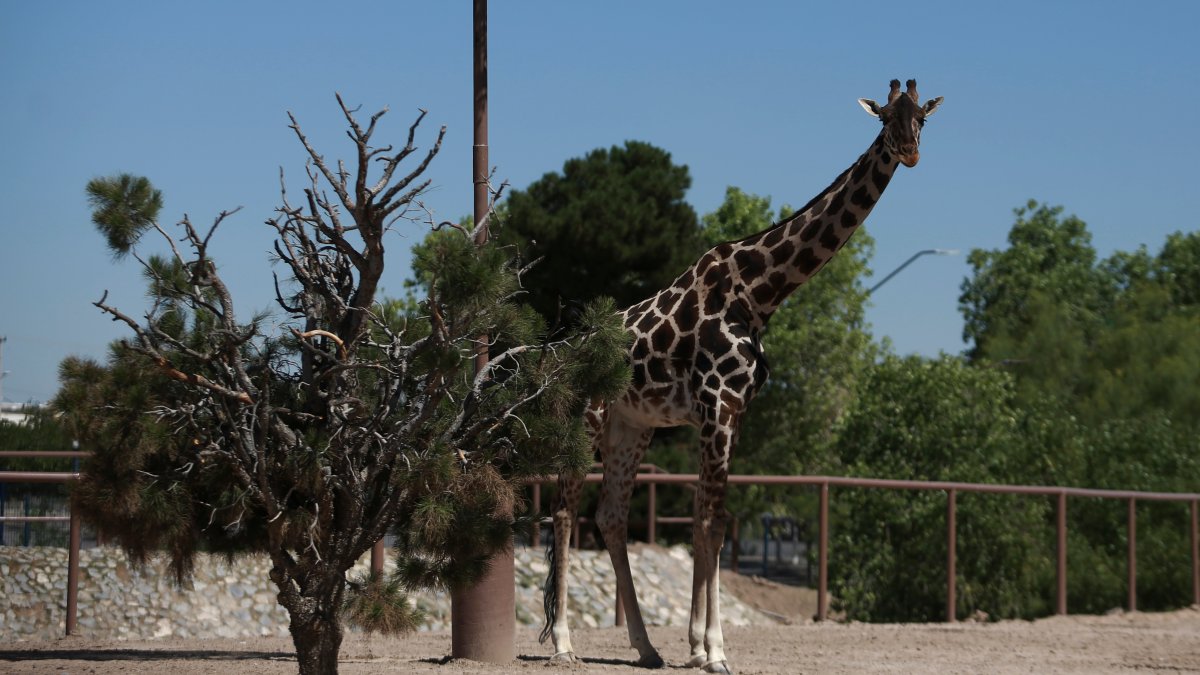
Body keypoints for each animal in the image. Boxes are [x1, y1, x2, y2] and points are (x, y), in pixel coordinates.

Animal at [541, 79, 943, 674]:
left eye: (923, 119)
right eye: (884, 118)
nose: (909, 152)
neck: (759, 295)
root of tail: (564, 356)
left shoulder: (732, 413)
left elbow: (715, 521)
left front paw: (695, 646)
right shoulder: (715, 406)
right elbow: (711, 522)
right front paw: (713, 651)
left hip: (631, 426)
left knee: (609, 515)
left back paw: (646, 647)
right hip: (586, 416)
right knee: (565, 509)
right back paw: (565, 643)